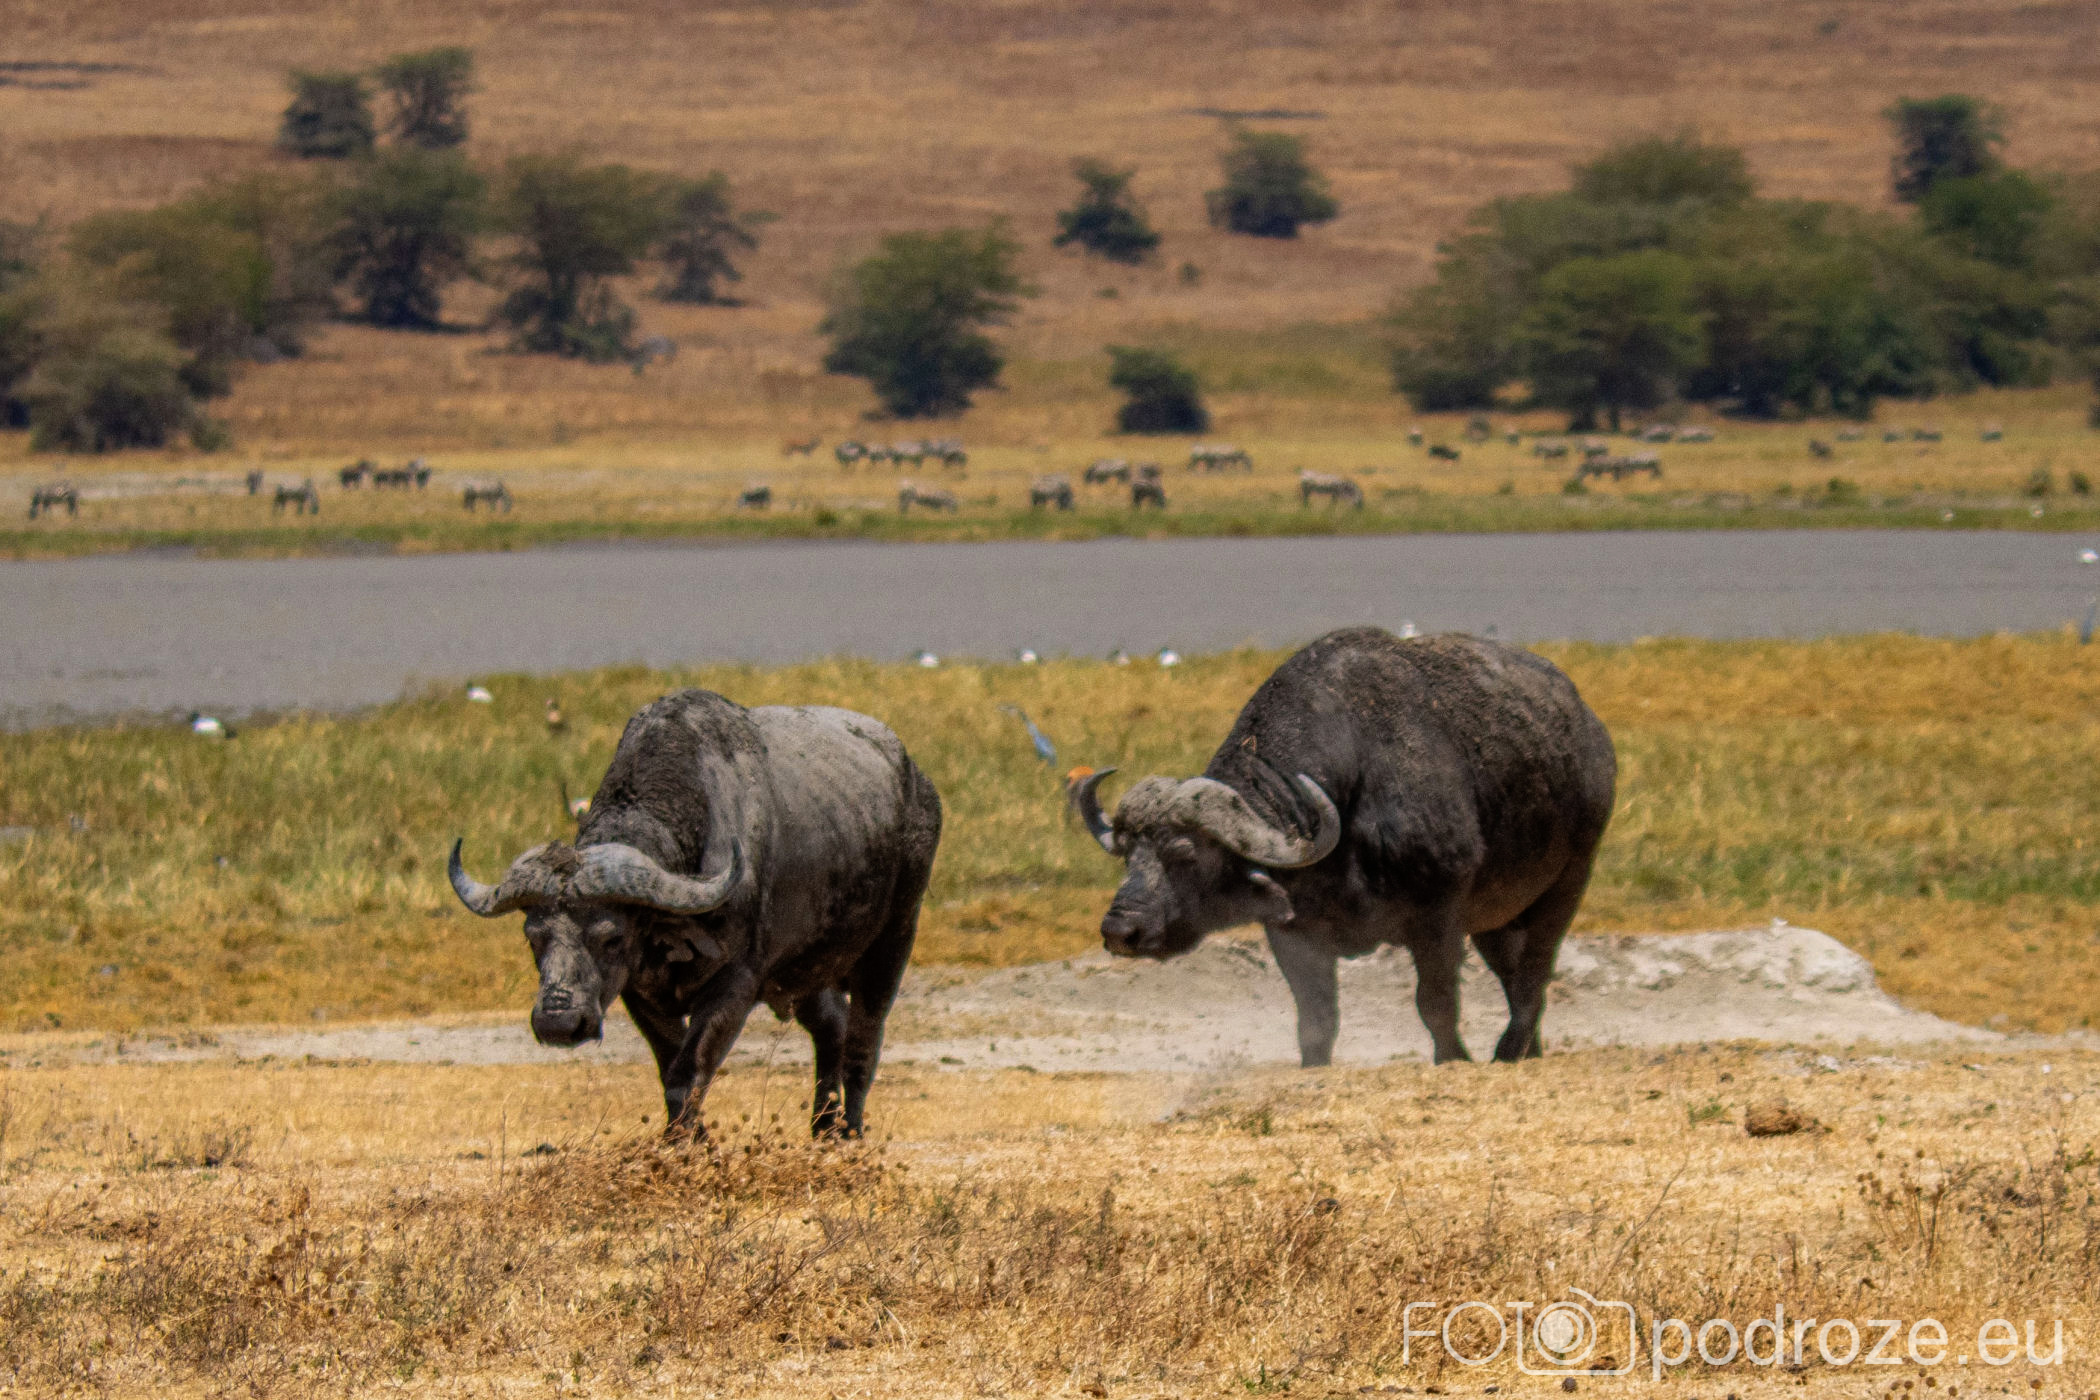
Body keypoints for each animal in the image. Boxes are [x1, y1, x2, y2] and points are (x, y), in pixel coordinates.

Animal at [449, 689, 942, 1136]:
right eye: (533, 937)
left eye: (611, 936)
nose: (558, 1022)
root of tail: (917, 782)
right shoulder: (637, 991)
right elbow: (670, 1068)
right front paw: (690, 1137)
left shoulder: (736, 985)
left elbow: (690, 1069)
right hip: (805, 968)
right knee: (833, 1025)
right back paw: (822, 1126)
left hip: (895, 936)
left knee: (865, 1036)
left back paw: (851, 1129)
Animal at [1070, 627, 1615, 1067]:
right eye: (1127, 853)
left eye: (1185, 854)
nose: (1120, 930)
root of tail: (1591, 731)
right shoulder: (1292, 933)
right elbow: (1315, 1019)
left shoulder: (1438, 917)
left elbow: (1436, 1003)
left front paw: (1454, 1058)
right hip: (1495, 916)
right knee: (1514, 971)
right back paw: (1530, 1050)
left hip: (1570, 879)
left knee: (1534, 972)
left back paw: (1508, 1049)